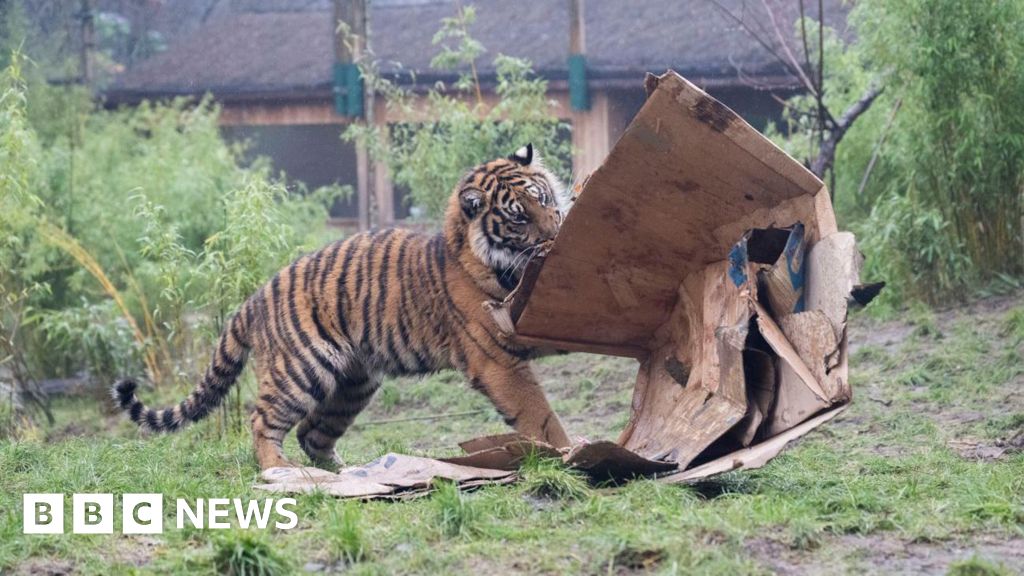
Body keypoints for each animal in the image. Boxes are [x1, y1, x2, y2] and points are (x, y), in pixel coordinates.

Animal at [114, 144, 573, 471]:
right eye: (518, 218)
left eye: (544, 198)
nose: (556, 235)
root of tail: (255, 297)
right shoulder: (498, 359)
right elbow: (540, 416)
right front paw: (569, 456)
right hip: (300, 371)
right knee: (263, 421)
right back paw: (279, 470)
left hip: (354, 383)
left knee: (312, 432)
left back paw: (347, 473)